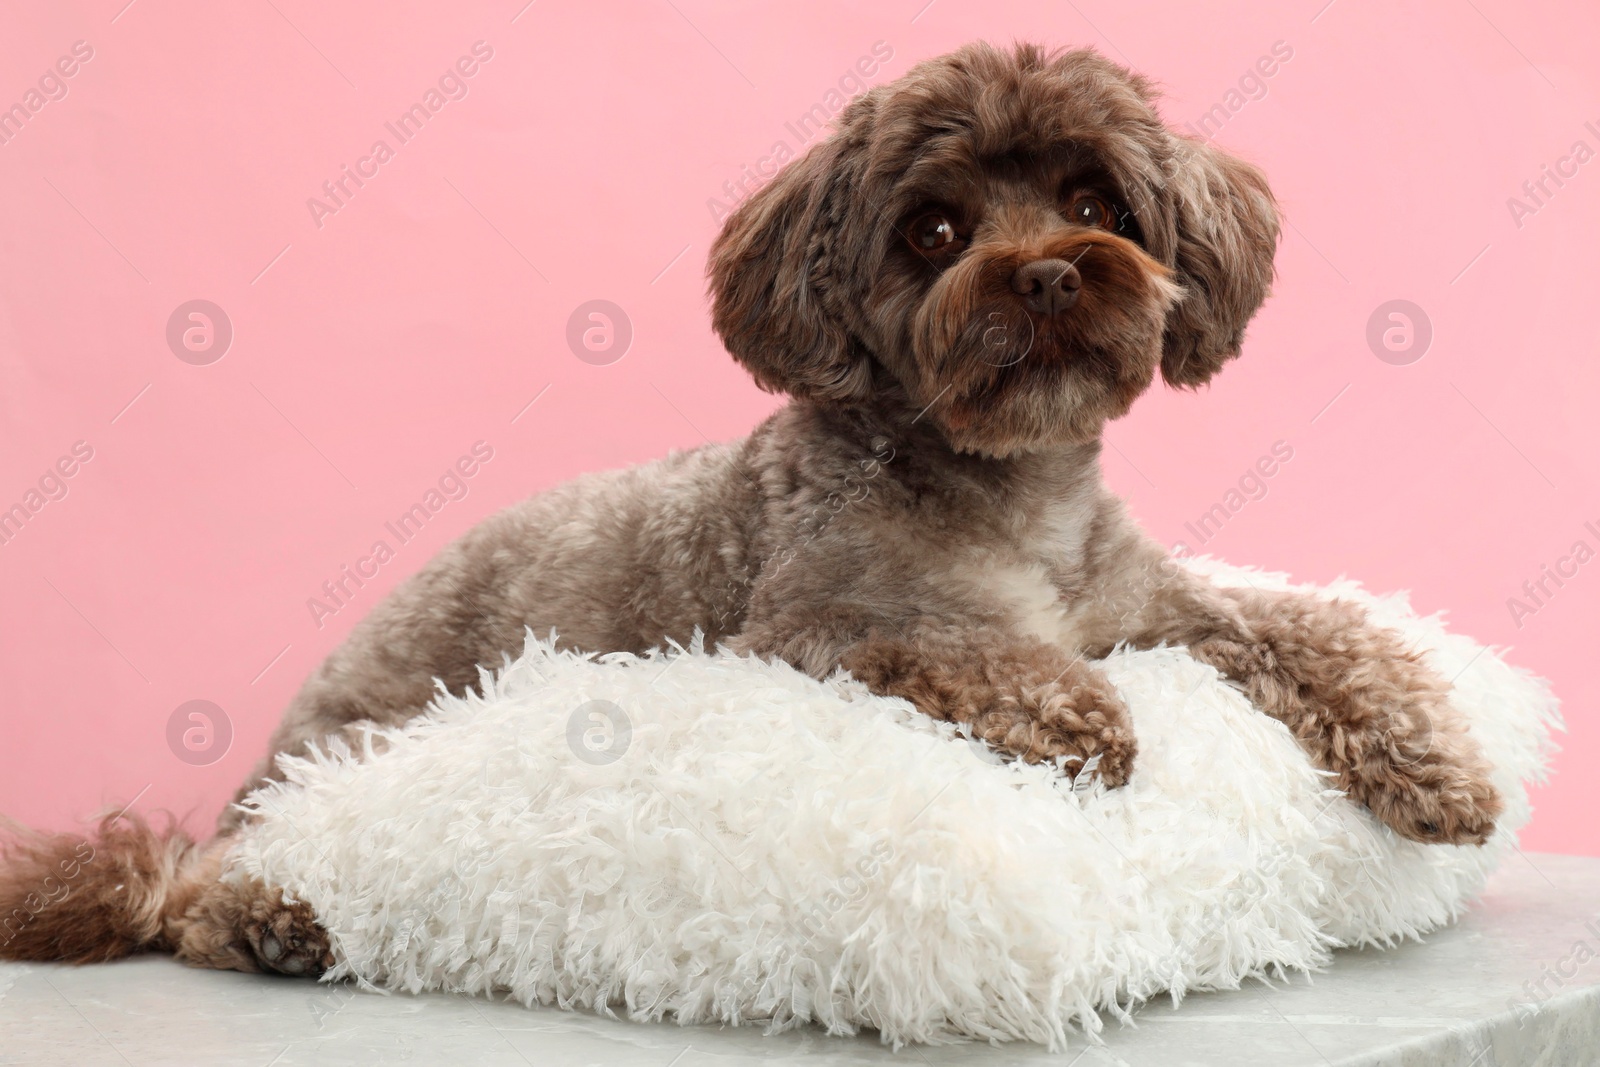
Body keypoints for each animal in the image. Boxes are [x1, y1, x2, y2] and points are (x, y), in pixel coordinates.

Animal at [0, 39, 1497, 979]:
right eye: (934, 230)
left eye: (1096, 200)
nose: (1047, 275)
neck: (1006, 482)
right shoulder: (815, 619)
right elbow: (974, 645)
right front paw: (1078, 712)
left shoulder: (1156, 603)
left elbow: (1316, 629)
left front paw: (1436, 758)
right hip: (351, 750)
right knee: (196, 880)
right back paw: (261, 917)